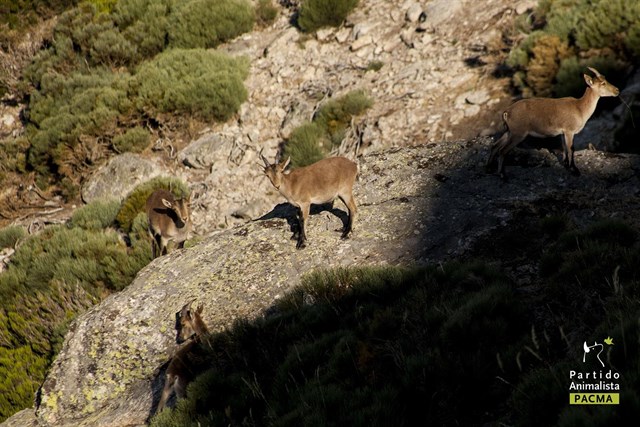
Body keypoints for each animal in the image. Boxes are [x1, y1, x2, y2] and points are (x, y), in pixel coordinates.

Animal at [487, 67, 619, 179]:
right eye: (603, 83)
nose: (617, 90)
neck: (580, 107)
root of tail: (507, 112)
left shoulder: (562, 132)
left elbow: (564, 148)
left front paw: (566, 165)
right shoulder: (569, 131)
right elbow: (571, 148)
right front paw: (575, 170)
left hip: (509, 132)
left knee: (495, 146)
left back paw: (489, 168)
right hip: (518, 134)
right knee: (502, 150)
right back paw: (502, 174)